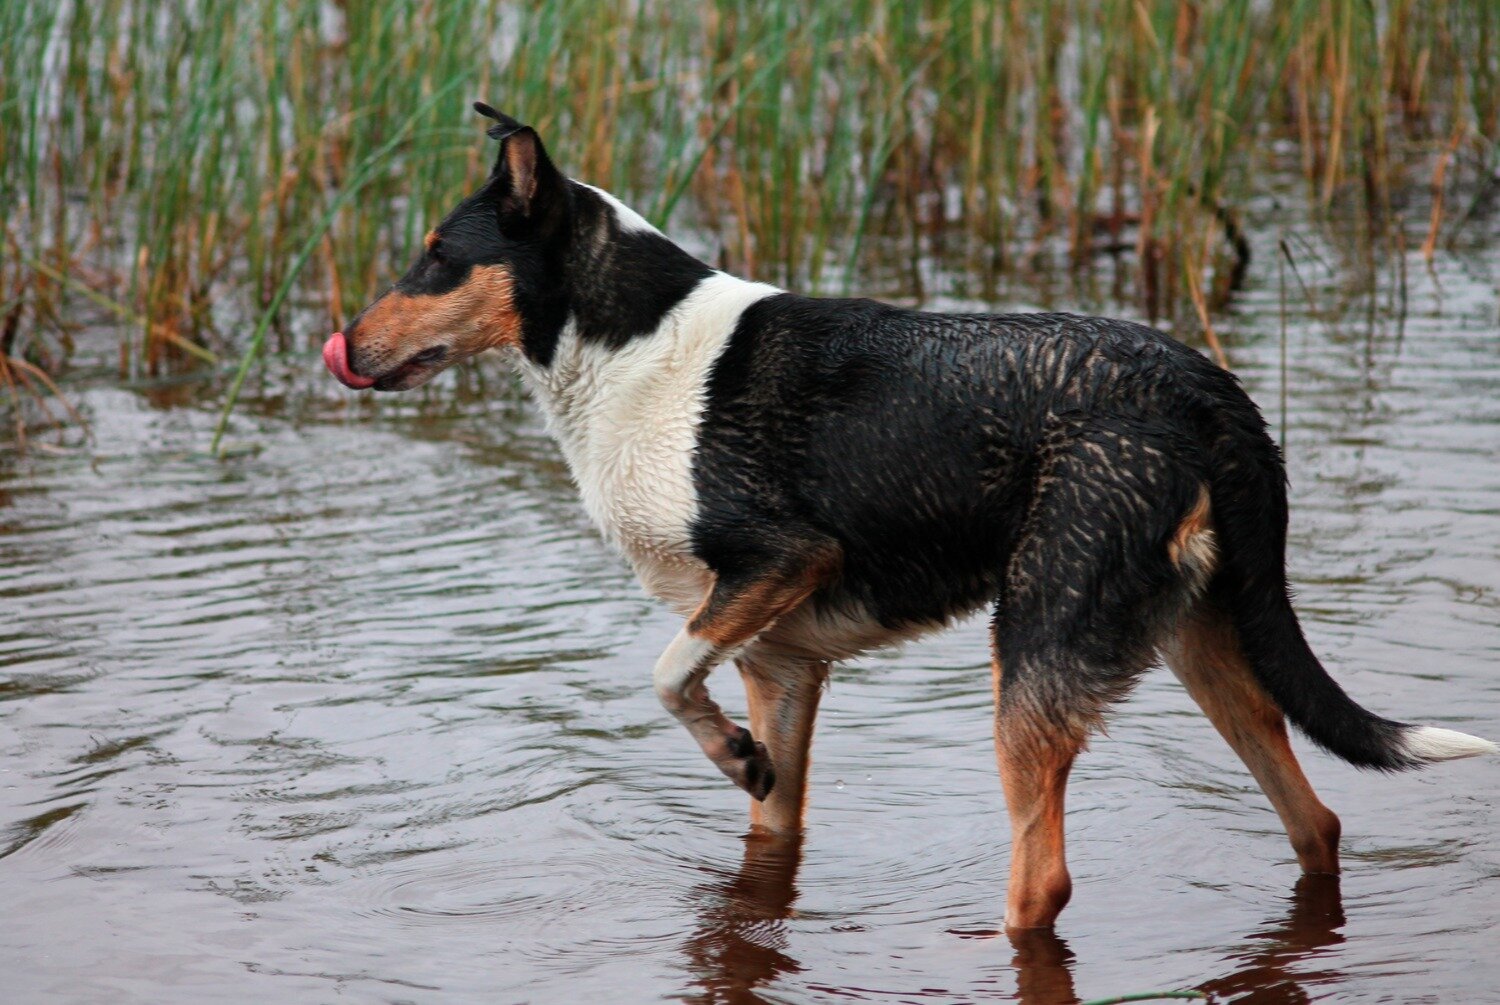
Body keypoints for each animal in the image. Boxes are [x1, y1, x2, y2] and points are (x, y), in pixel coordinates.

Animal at [322, 106, 1494, 936]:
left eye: (435, 253)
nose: (345, 343)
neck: (629, 349)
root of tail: (1211, 394)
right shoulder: (783, 662)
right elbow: (766, 819)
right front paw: (746, 765)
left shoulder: (780, 561)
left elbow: (662, 673)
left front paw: (728, 751)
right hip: (1200, 646)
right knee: (1317, 821)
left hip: (1034, 648)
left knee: (1044, 882)